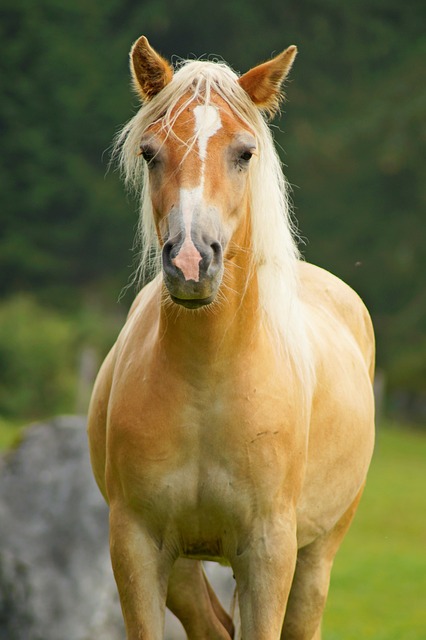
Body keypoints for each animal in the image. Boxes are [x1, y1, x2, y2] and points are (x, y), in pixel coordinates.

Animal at [88, 36, 374, 640]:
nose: (191, 262)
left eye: (244, 153)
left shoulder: (268, 553)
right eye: (149, 153)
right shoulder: (136, 546)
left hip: (316, 556)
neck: (208, 378)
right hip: (184, 569)